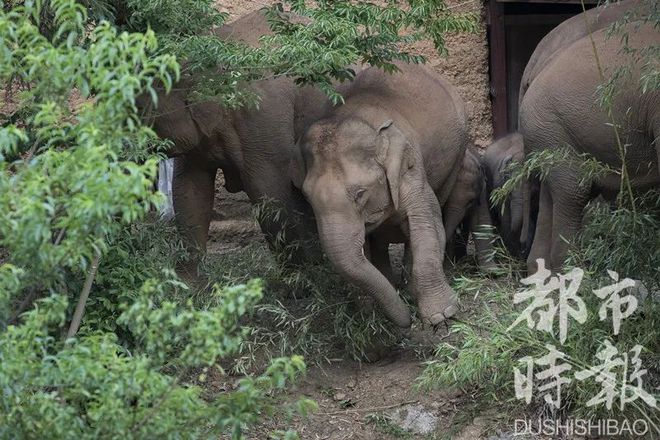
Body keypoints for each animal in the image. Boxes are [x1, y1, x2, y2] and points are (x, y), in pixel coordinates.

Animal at [290, 63, 470, 328]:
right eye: (306, 196)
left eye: (360, 193)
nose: (408, 322)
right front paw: (369, 310)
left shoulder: (410, 169)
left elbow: (426, 223)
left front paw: (441, 316)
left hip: (457, 152)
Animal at [520, 18, 656, 274]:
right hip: (554, 129)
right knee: (574, 191)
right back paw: (575, 272)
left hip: (549, 136)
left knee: (551, 195)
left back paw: (542, 273)